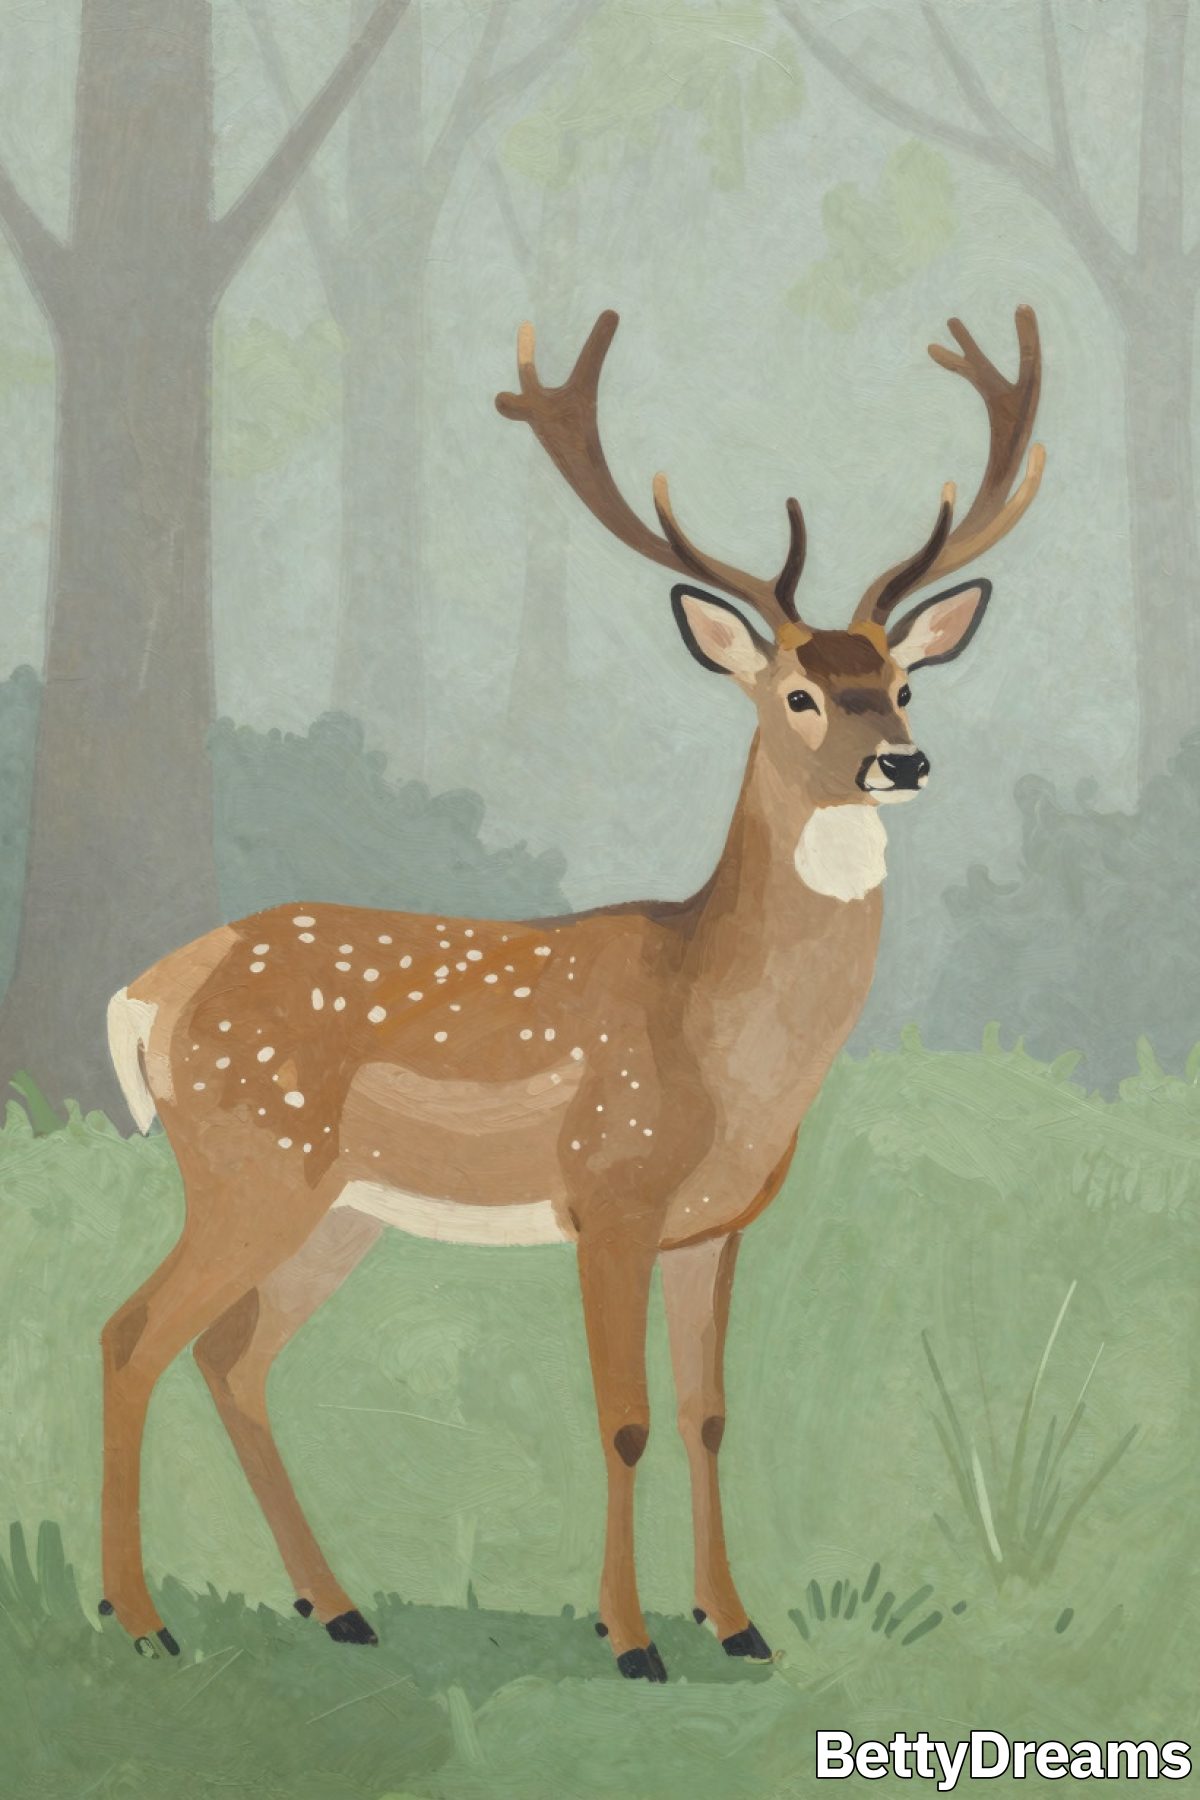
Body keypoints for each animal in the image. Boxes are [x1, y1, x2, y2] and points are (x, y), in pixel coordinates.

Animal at [99, 304, 1042, 1680]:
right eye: (799, 692)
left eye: (905, 682)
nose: (903, 762)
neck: (721, 1037)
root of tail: (144, 996)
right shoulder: (612, 1188)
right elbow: (624, 1416)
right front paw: (632, 1640)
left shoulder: (716, 1222)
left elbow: (708, 1413)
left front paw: (738, 1626)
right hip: (246, 1160)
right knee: (134, 1335)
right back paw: (143, 1619)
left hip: (335, 1205)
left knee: (234, 1356)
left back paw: (335, 1608)